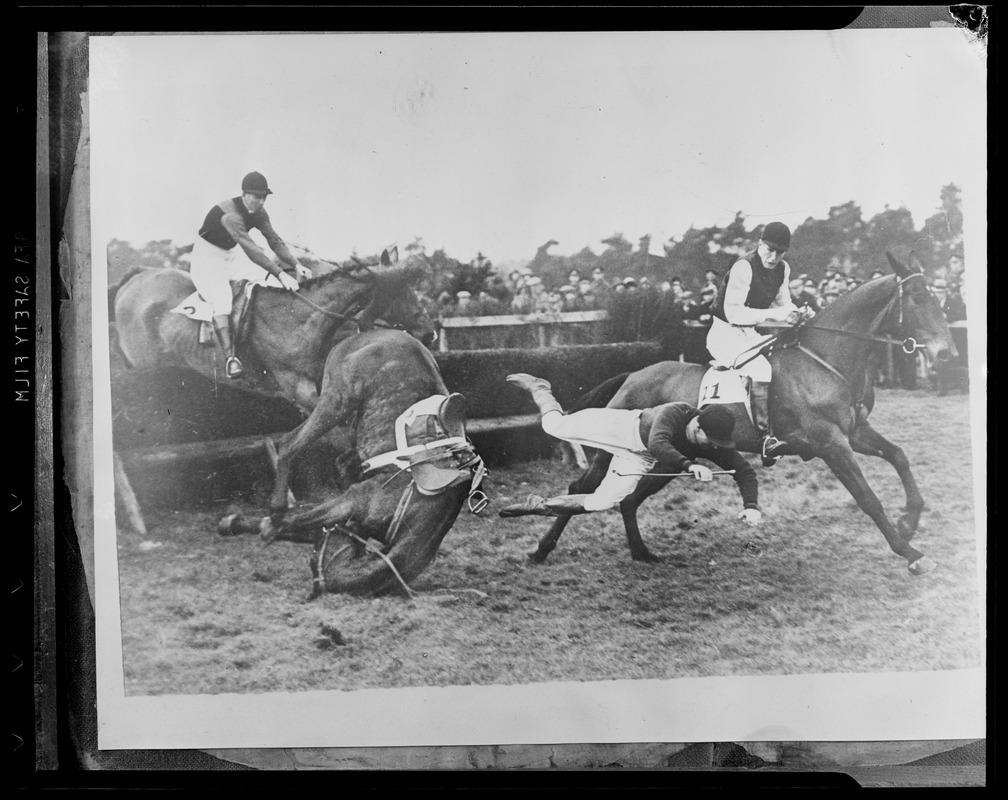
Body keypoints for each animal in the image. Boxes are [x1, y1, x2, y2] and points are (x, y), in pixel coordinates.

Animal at [111, 245, 437, 415]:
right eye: (399, 292)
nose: (429, 333)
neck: (302, 317)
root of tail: (137, 277)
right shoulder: (297, 389)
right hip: (147, 369)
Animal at [532, 250, 955, 572]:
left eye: (941, 298)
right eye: (917, 297)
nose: (947, 354)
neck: (824, 359)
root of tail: (632, 375)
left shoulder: (854, 433)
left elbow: (899, 456)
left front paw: (909, 520)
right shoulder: (831, 444)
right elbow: (868, 498)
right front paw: (910, 552)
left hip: (667, 458)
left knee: (629, 500)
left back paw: (642, 553)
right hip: (616, 450)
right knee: (580, 489)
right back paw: (541, 549)